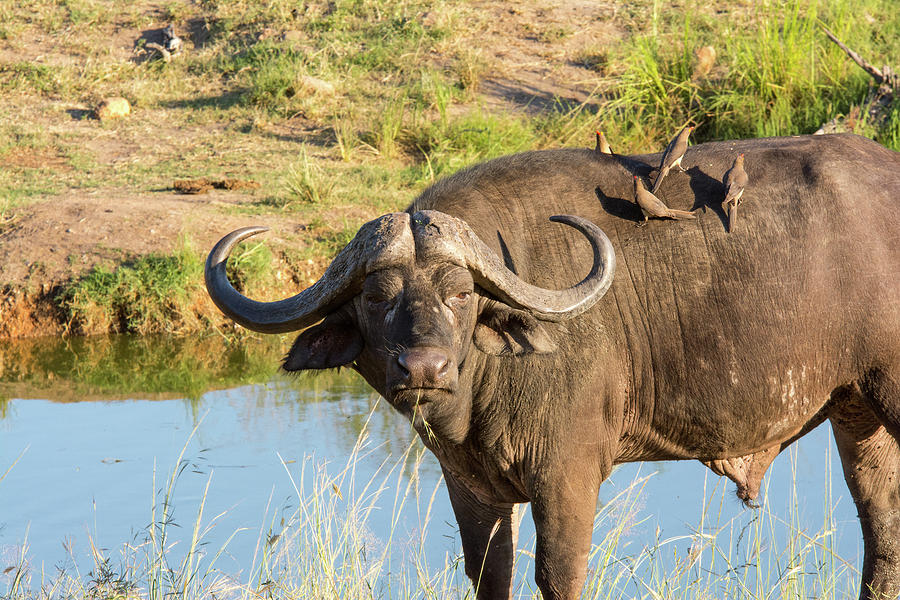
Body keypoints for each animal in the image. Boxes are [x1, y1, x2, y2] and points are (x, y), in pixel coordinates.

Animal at [207, 135, 900, 600]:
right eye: (377, 297)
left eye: (461, 293)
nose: (424, 366)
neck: (481, 395)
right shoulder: (471, 487)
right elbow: (490, 574)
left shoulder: (567, 476)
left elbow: (558, 576)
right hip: (858, 417)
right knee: (883, 533)